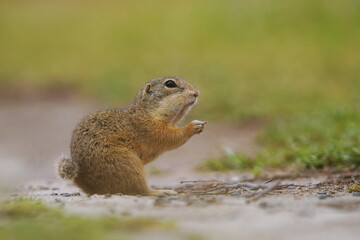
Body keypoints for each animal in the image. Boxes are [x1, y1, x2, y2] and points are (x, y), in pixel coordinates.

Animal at [57, 78, 207, 196]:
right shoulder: (150, 128)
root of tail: (88, 185)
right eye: (170, 83)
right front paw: (193, 126)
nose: (196, 93)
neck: (147, 112)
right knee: (139, 191)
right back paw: (160, 191)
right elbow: (170, 137)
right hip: (127, 165)